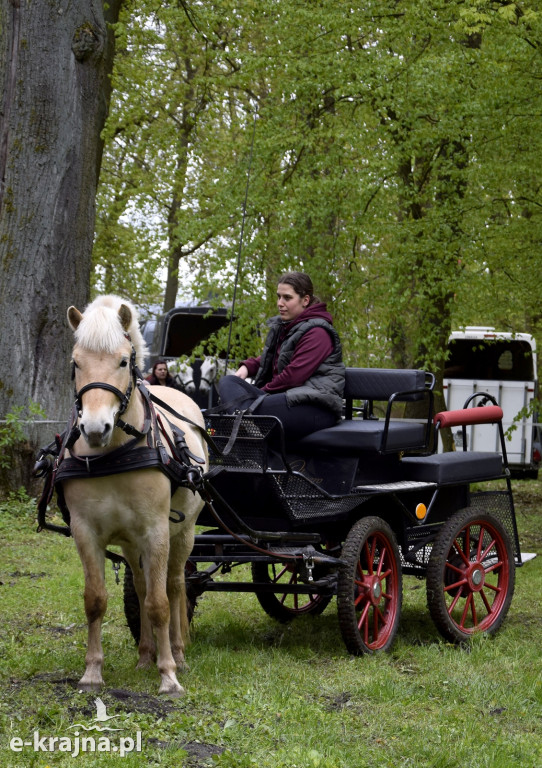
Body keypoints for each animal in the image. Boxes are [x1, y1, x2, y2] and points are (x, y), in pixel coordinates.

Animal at [62, 296, 208, 700]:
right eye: (76, 363)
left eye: (123, 362)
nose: (95, 428)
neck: (113, 452)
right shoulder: (86, 532)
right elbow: (96, 600)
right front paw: (92, 672)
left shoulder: (156, 532)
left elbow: (160, 604)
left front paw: (169, 675)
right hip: (130, 543)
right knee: (142, 587)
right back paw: (145, 655)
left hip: (183, 533)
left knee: (175, 586)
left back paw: (177, 652)